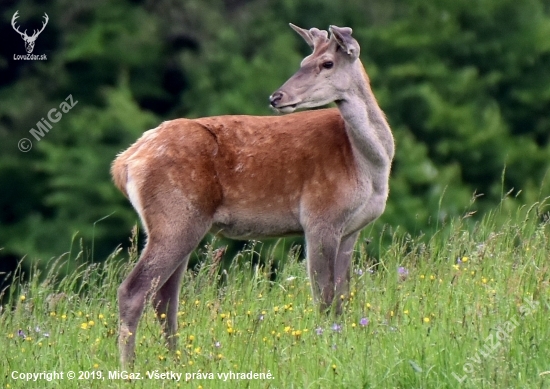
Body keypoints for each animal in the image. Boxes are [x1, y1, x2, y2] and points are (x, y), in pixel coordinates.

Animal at [112, 23, 394, 364]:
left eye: (326, 63)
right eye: (304, 61)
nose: (276, 97)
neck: (368, 165)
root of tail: (125, 162)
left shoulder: (352, 228)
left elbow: (342, 295)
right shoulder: (320, 216)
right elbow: (324, 297)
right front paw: (327, 347)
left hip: (178, 224)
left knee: (164, 297)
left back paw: (177, 360)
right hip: (176, 216)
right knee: (135, 291)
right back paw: (130, 367)